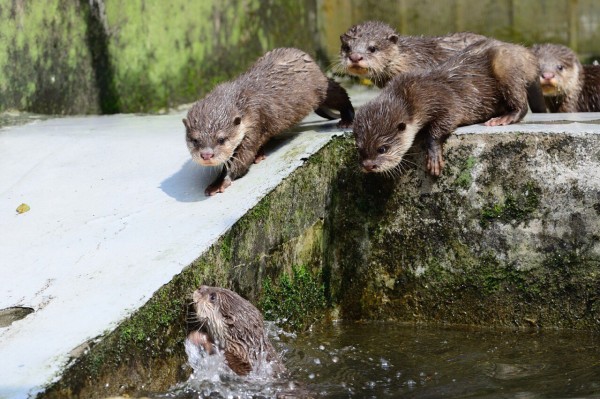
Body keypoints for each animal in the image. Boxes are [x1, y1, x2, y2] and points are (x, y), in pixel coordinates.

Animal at [182, 47, 352, 197]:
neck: (243, 101)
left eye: (222, 139)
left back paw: (347, 119)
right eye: (195, 140)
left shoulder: (254, 121)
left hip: (320, 88)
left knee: (339, 93)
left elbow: (242, 158)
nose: (206, 155)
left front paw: (219, 182)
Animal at [354, 40, 536, 177]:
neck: (408, 94)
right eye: (359, 149)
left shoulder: (443, 100)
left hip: (504, 65)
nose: (368, 166)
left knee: (521, 104)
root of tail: (524, 53)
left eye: (382, 149)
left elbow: (443, 124)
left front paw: (434, 155)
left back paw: (503, 118)